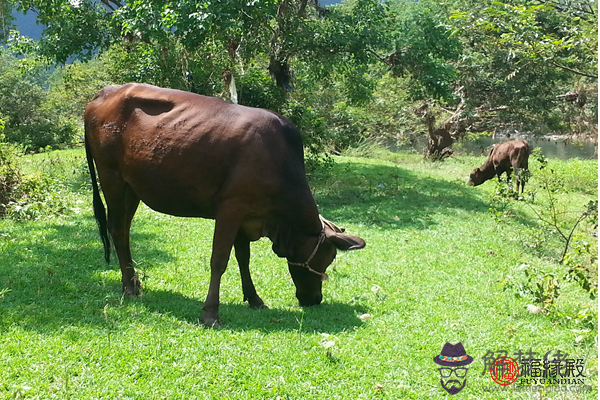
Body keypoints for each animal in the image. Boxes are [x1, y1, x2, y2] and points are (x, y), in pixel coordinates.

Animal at [84, 83, 366, 326]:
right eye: (327, 259)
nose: (314, 300)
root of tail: (105, 92)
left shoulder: (247, 216)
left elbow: (244, 258)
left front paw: (254, 299)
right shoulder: (231, 208)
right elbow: (219, 260)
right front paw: (211, 313)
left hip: (132, 188)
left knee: (123, 231)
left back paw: (132, 282)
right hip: (112, 178)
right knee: (117, 230)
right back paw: (130, 288)